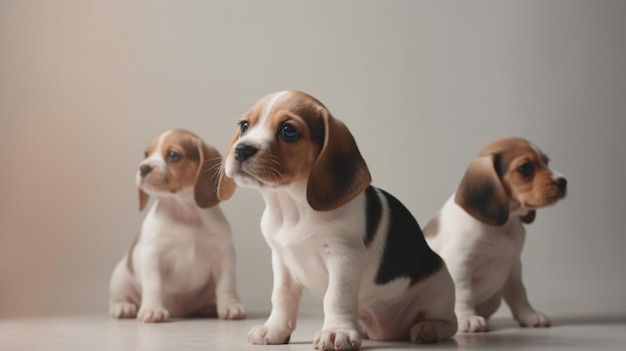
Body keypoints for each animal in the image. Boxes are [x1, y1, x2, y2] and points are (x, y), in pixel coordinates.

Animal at [107, 130, 244, 324]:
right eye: (146, 155)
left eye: (173, 155)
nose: (143, 168)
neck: (184, 212)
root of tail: (178, 311)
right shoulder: (153, 255)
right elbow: (154, 285)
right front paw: (153, 309)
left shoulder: (224, 255)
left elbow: (226, 284)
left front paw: (230, 306)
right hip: (120, 276)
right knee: (118, 298)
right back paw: (123, 307)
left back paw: (209, 306)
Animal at [217, 90, 456, 350]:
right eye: (245, 126)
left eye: (288, 130)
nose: (241, 149)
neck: (292, 207)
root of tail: (389, 332)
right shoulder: (282, 261)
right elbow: (281, 297)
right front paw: (274, 330)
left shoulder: (344, 256)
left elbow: (336, 297)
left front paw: (335, 332)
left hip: (439, 287)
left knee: (450, 323)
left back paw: (429, 328)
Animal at [424, 137, 564, 332]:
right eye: (525, 168)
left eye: (547, 162)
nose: (563, 181)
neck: (504, 226)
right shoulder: (459, 264)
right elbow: (463, 294)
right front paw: (467, 319)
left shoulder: (513, 267)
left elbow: (520, 295)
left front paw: (529, 315)